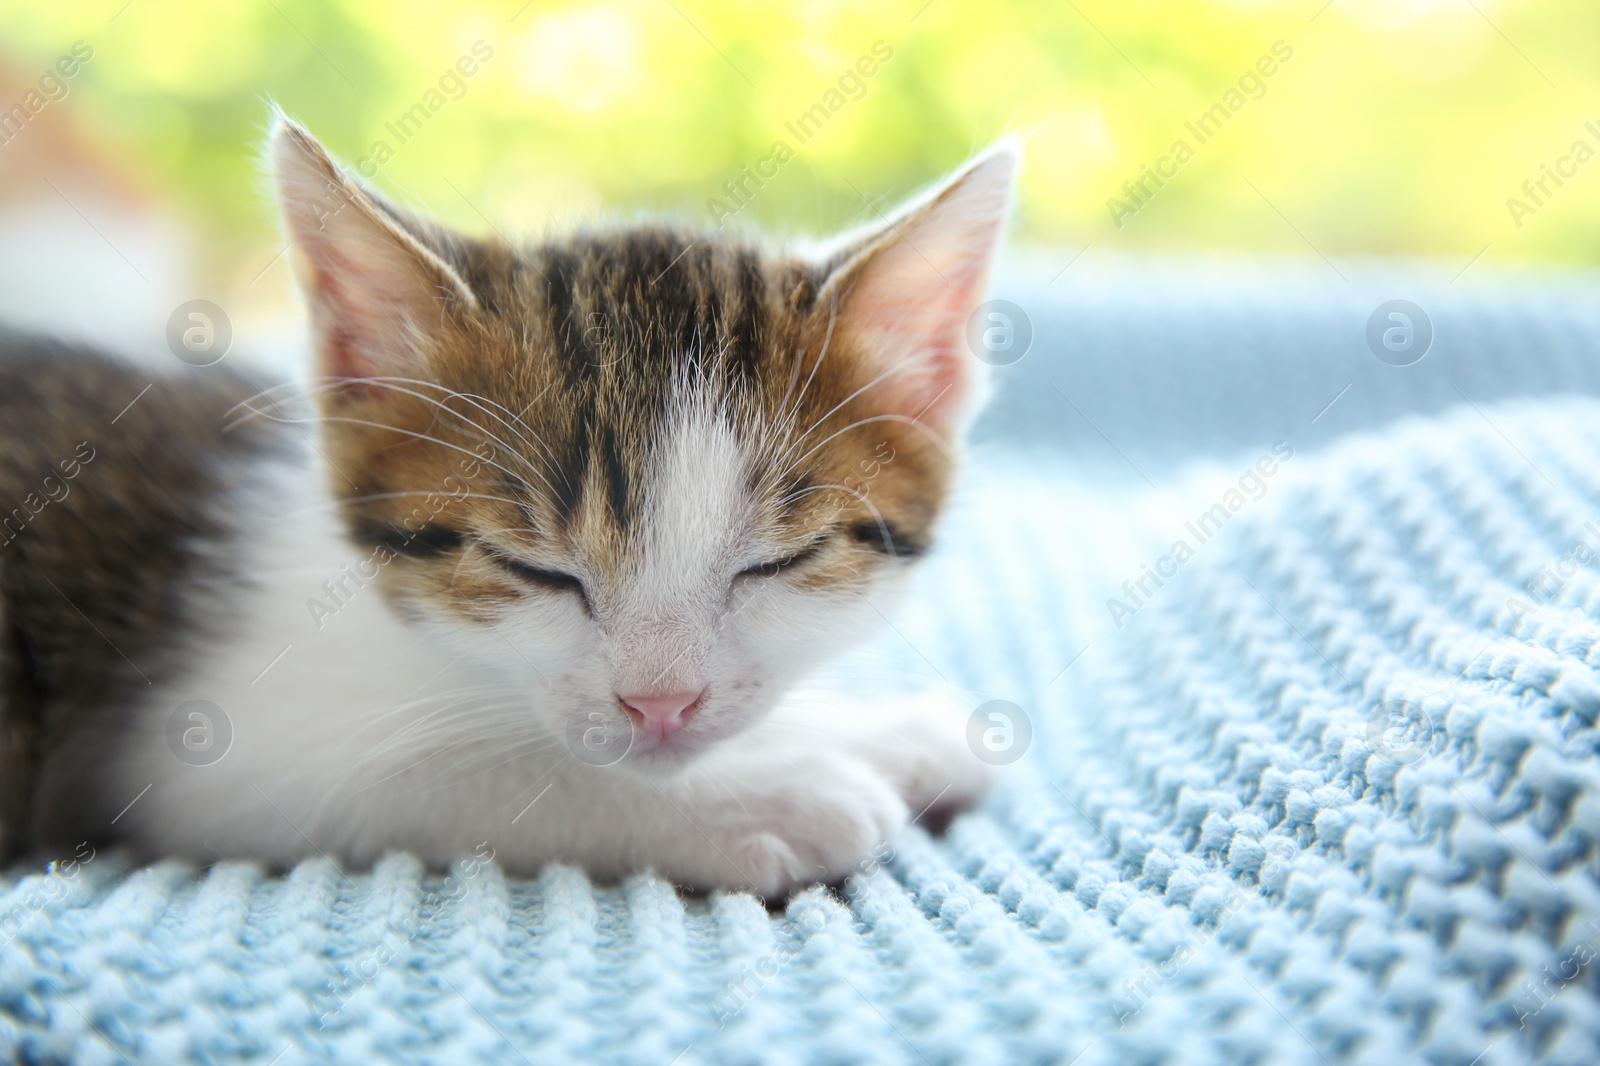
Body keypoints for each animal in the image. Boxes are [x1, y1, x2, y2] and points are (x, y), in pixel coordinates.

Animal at [0, 116, 1017, 889]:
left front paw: (884, 731)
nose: (661, 706)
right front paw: (766, 792)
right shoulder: (203, 755)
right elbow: (488, 770)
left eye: (781, 562)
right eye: (535, 572)